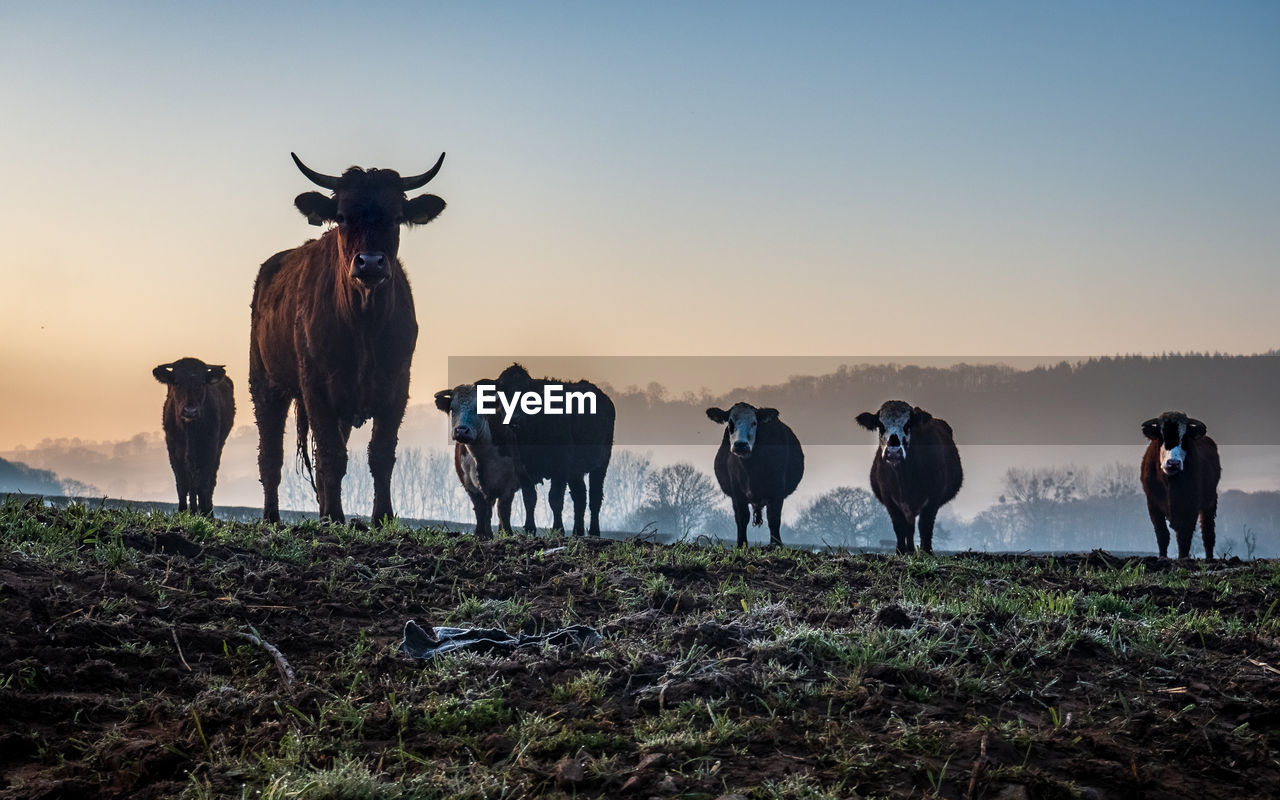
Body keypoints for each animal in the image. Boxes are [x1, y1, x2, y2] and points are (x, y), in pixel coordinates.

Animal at [153, 358, 236, 517]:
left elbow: (203, 483)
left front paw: (204, 513)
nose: (190, 411)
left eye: (202, 383)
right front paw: (183, 511)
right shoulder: (174, 450)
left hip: (218, 448)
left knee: (209, 481)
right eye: (177, 382)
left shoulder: (210, 449)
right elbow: (182, 482)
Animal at [250, 150, 450, 524]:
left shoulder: (397, 385)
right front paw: (335, 517)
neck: (364, 325)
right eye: (342, 217)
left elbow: (380, 454)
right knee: (271, 456)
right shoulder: (316, 387)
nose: (370, 263)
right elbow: (331, 454)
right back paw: (273, 517)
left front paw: (382, 516)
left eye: (397, 217)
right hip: (266, 383)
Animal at [706, 401, 803, 545]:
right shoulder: (736, 490)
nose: (740, 444)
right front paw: (741, 544)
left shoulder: (778, 488)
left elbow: (774, 518)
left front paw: (776, 545)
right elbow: (742, 517)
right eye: (730, 422)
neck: (751, 469)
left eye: (754, 422)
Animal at [855, 399, 962, 555]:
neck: (904, 478)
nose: (893, 451)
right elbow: (899, 526)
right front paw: (900, 551)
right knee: (909, 528)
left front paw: (927, 552)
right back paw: (910, 551)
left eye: (907, 425)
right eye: (880, 425)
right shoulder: (889, 498)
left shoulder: (933, 498)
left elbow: (925, 526)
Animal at [1141, 412, 1218, 555]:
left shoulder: (1191, 506)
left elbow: (1184, 538)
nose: (1173, 463)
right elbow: (1162, 535)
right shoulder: (1153, 504)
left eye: (1185, 438)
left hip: (1210, 502)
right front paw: (1162, 557)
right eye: (1162, 436)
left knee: (1208, 533)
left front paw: (1183, 559)